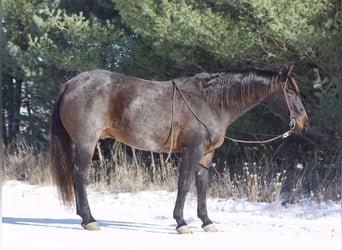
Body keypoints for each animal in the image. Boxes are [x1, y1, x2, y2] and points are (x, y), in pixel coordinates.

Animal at [49, 65, 308, 233]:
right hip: (87, 143)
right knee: (80, 175)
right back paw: (89, 219)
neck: (210, 103)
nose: (304, 122)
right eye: (290, 91)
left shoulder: (206, 153)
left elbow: (202, 185)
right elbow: (184, 184)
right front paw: (181, 223)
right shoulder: (192, 150)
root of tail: (71, 83)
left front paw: (206, 221)